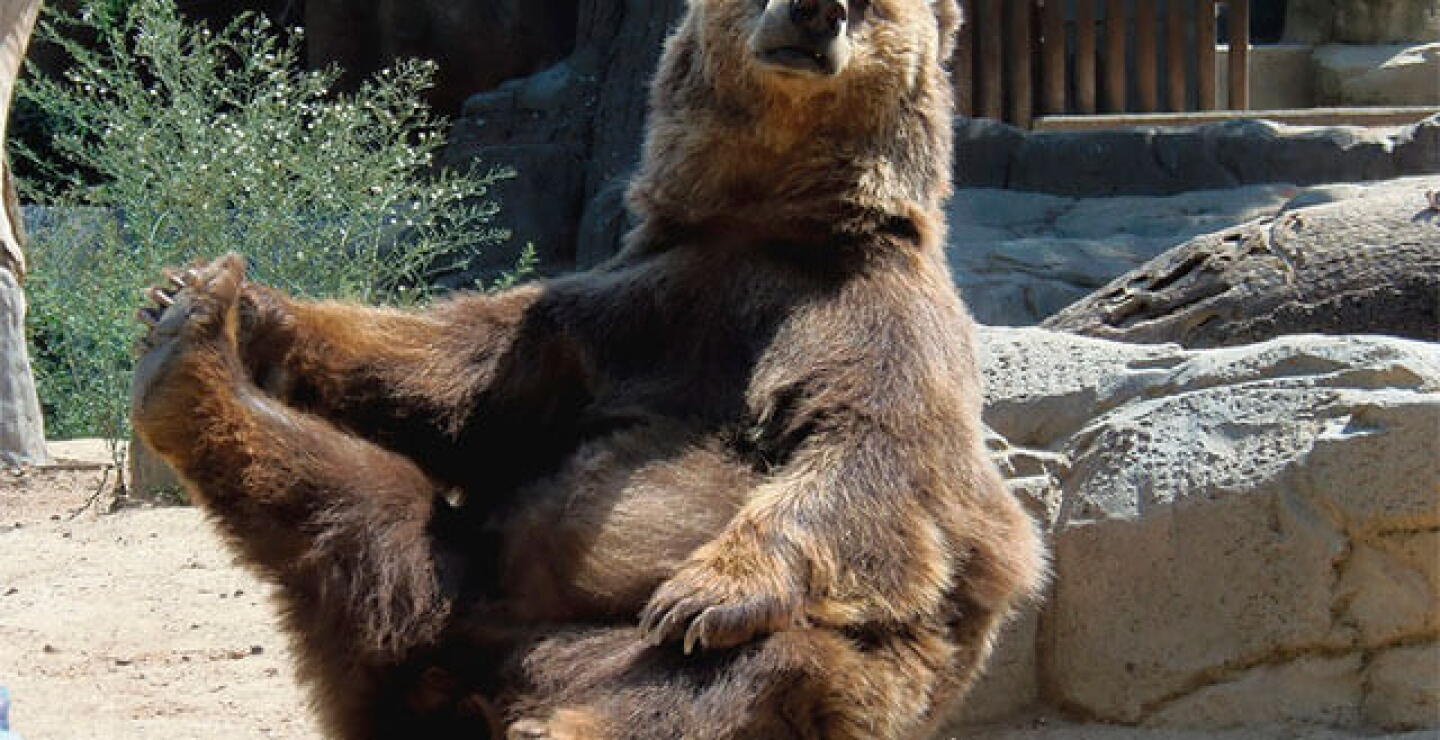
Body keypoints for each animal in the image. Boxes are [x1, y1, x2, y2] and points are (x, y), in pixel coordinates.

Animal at [130, 0, 1048, 738]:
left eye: (874, 1)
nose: (816, 8)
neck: (770, 220)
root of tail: (477, 684)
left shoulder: (872, 321)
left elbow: (873, 453)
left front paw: (711, 587)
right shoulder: (636, 307)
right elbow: (461, 374)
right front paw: (232, 301)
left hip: (771, 671)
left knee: (735, 672)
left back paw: (573, 713)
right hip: (454, 586)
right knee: (358, 508)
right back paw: (189, 346)